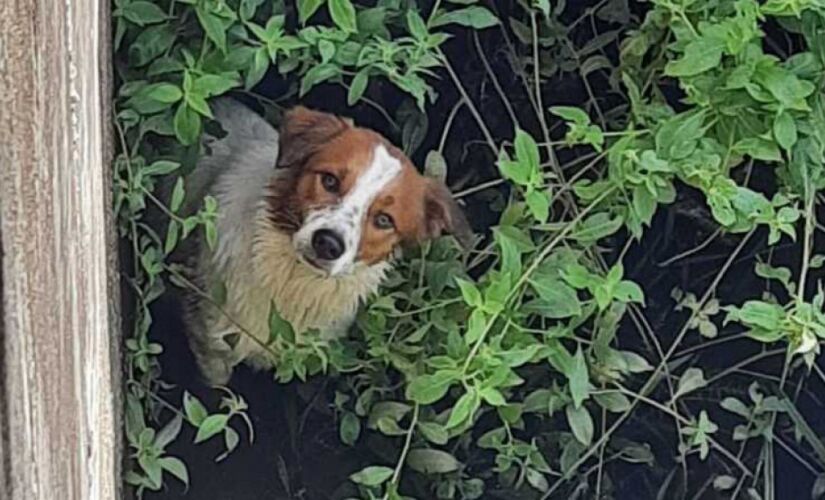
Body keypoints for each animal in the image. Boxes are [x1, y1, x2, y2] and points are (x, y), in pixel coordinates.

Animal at [174, 98, 470, 386]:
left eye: (384, 220)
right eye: (329, 180)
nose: (328, 244)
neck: (291, 283)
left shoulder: (308, 358)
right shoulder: (211, 347)